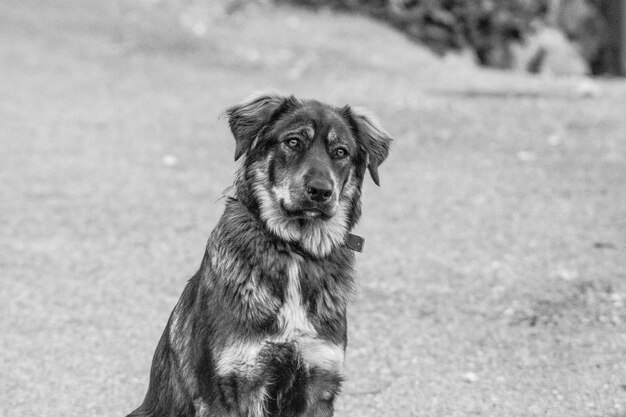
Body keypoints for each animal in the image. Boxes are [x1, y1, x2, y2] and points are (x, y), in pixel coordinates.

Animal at [126, 94, 390, 416]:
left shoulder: (318, 380)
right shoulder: (234, 385)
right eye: (293, 142)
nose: (320, 191)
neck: (293, 249)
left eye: (341, 152)